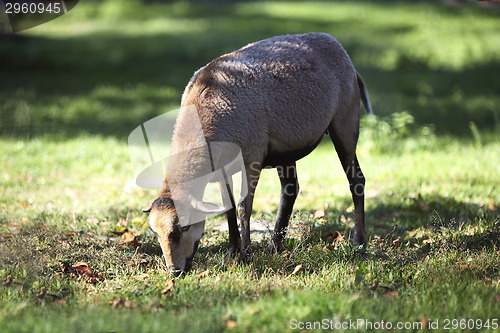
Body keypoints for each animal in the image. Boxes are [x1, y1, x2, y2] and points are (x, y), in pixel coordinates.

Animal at [141, 31, 372, 272]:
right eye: (154, 232)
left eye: (184, 227)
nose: (174, 271)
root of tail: (338, 46)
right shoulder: (222, 168)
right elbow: (229, 207)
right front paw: (232, 251)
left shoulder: (251, 157)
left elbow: (244, 207)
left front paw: (245, 255)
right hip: (286, 149)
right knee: (290, 189)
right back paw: (275, 246)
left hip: (345, 122)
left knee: (356, 180)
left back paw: (359, 242)